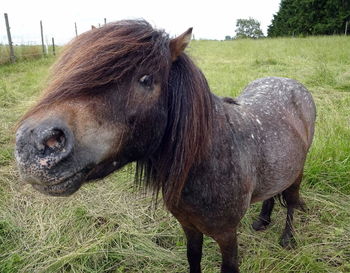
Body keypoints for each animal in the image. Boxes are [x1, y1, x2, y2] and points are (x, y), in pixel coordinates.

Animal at [15, 20, 316, 270]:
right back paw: (262, 221)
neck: (210, 159)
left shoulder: (227, 235)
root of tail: (291, 83)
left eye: (146, 79)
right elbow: (193, 258)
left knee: (291, 201)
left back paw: (287, 238)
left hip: (297, 171)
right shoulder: (189, 226)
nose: (34, 143)